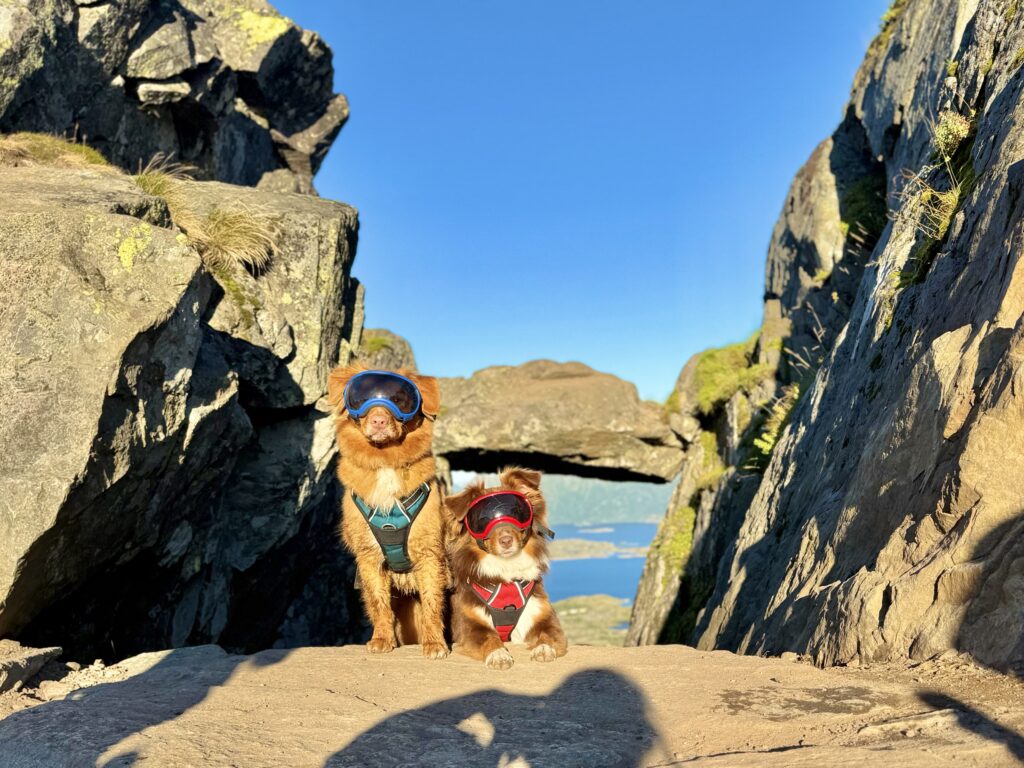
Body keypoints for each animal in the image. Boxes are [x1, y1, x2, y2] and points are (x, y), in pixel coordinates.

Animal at [327, 364, 449, 659]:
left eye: (400, 399)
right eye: (360, 397)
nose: (379, 421)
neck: (385, 463)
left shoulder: (429, 553)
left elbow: (432, 602)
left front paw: (435, 643)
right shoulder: (368, 556)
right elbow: (378, 602)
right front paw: (382, 639)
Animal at [445, 467, 568, 670]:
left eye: (517, 512)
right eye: (482, 520)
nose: (506, 540)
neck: (506, 568)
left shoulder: (544, 617)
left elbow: (547, 634)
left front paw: (543, 649)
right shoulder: (469, 626)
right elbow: (489, 637)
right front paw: (498, 654)